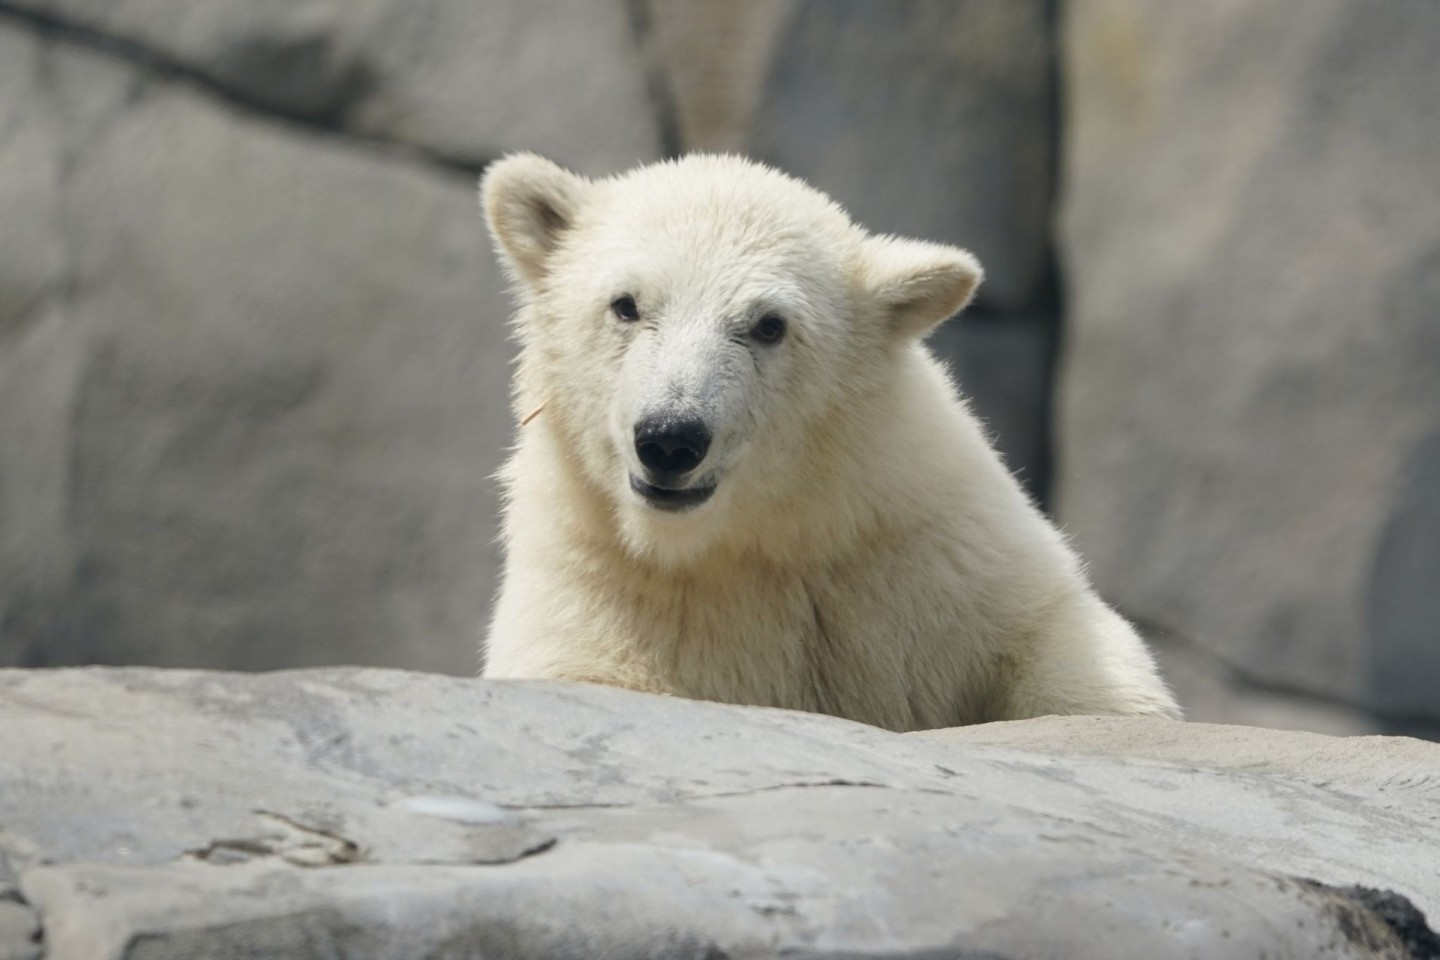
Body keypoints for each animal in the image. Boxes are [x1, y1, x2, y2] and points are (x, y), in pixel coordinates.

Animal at [478, 154, 1175, 731]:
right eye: (625, 304)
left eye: (768, 325)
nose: (671, 438)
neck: (744, 538)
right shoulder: (593, 577)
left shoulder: (928, 542)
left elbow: (1060, 638)